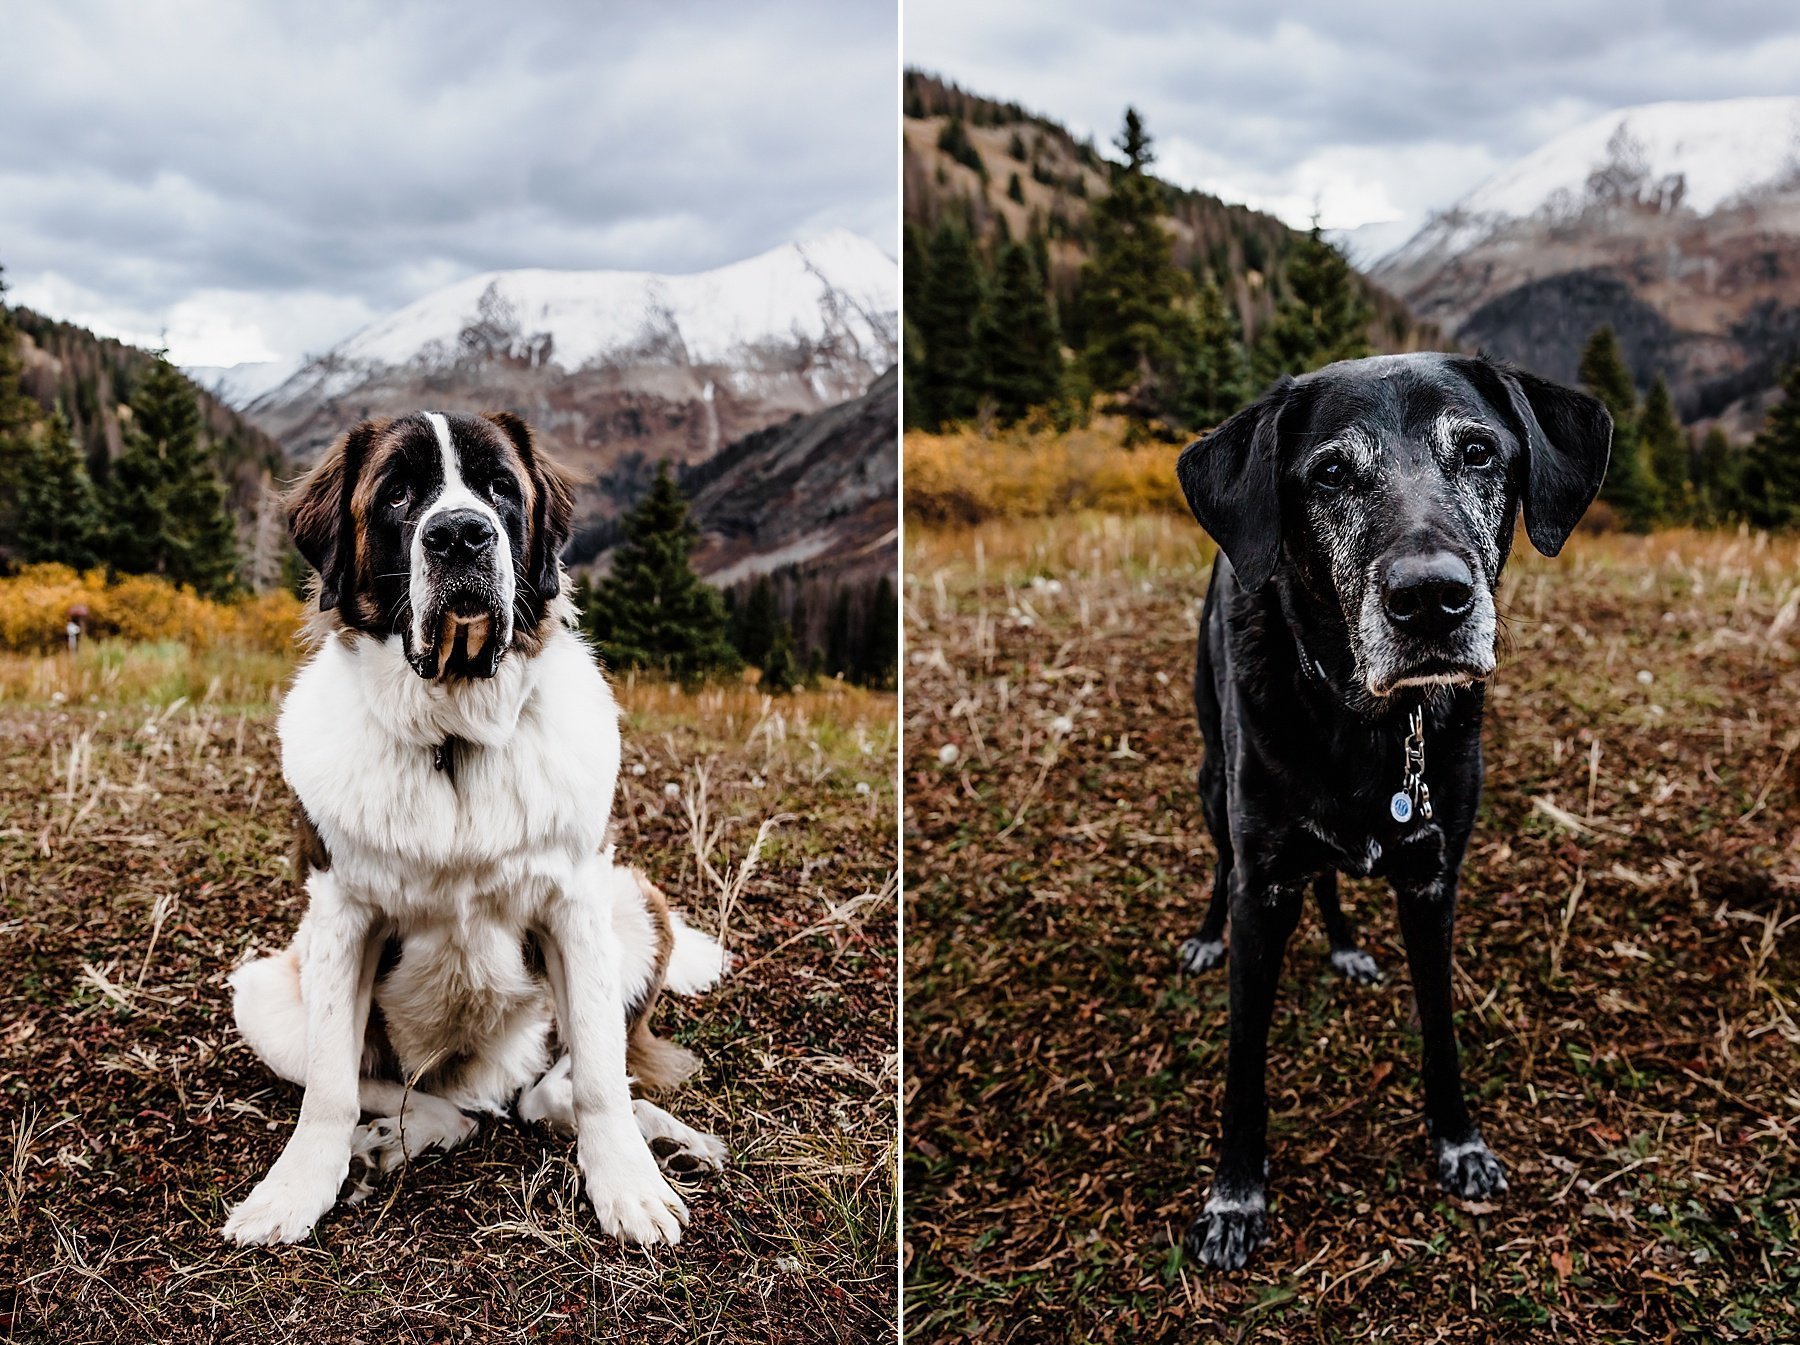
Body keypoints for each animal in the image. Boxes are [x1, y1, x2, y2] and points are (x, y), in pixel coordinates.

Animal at [221, 410, 727, 1253]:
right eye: (397, 494)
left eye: (498, 488)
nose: (460, 533)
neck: (454, 736)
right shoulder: (338, 915)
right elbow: (328, 1086)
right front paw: (294, 1190)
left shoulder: (576, 900)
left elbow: (600, 1071)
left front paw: (629, 1185)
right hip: (264, 992)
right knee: (426, 1101)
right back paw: (391, 1139)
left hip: (631, 901)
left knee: (562, 1083)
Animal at [1173, 352, 1612, 1267]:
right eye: (1332, 472)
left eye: (1479, 451)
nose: (1431, 599)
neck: (1367, 719)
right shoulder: (1263, 883)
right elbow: (1244, 1057)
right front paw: (1235, 1194)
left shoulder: (1432, 880)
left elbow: (1439, 1023)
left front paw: (1459, 1141)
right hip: (1210, 783)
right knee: (1223, 862)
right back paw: (1203, 935)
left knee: (1330, 878)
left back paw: (1345, 945)